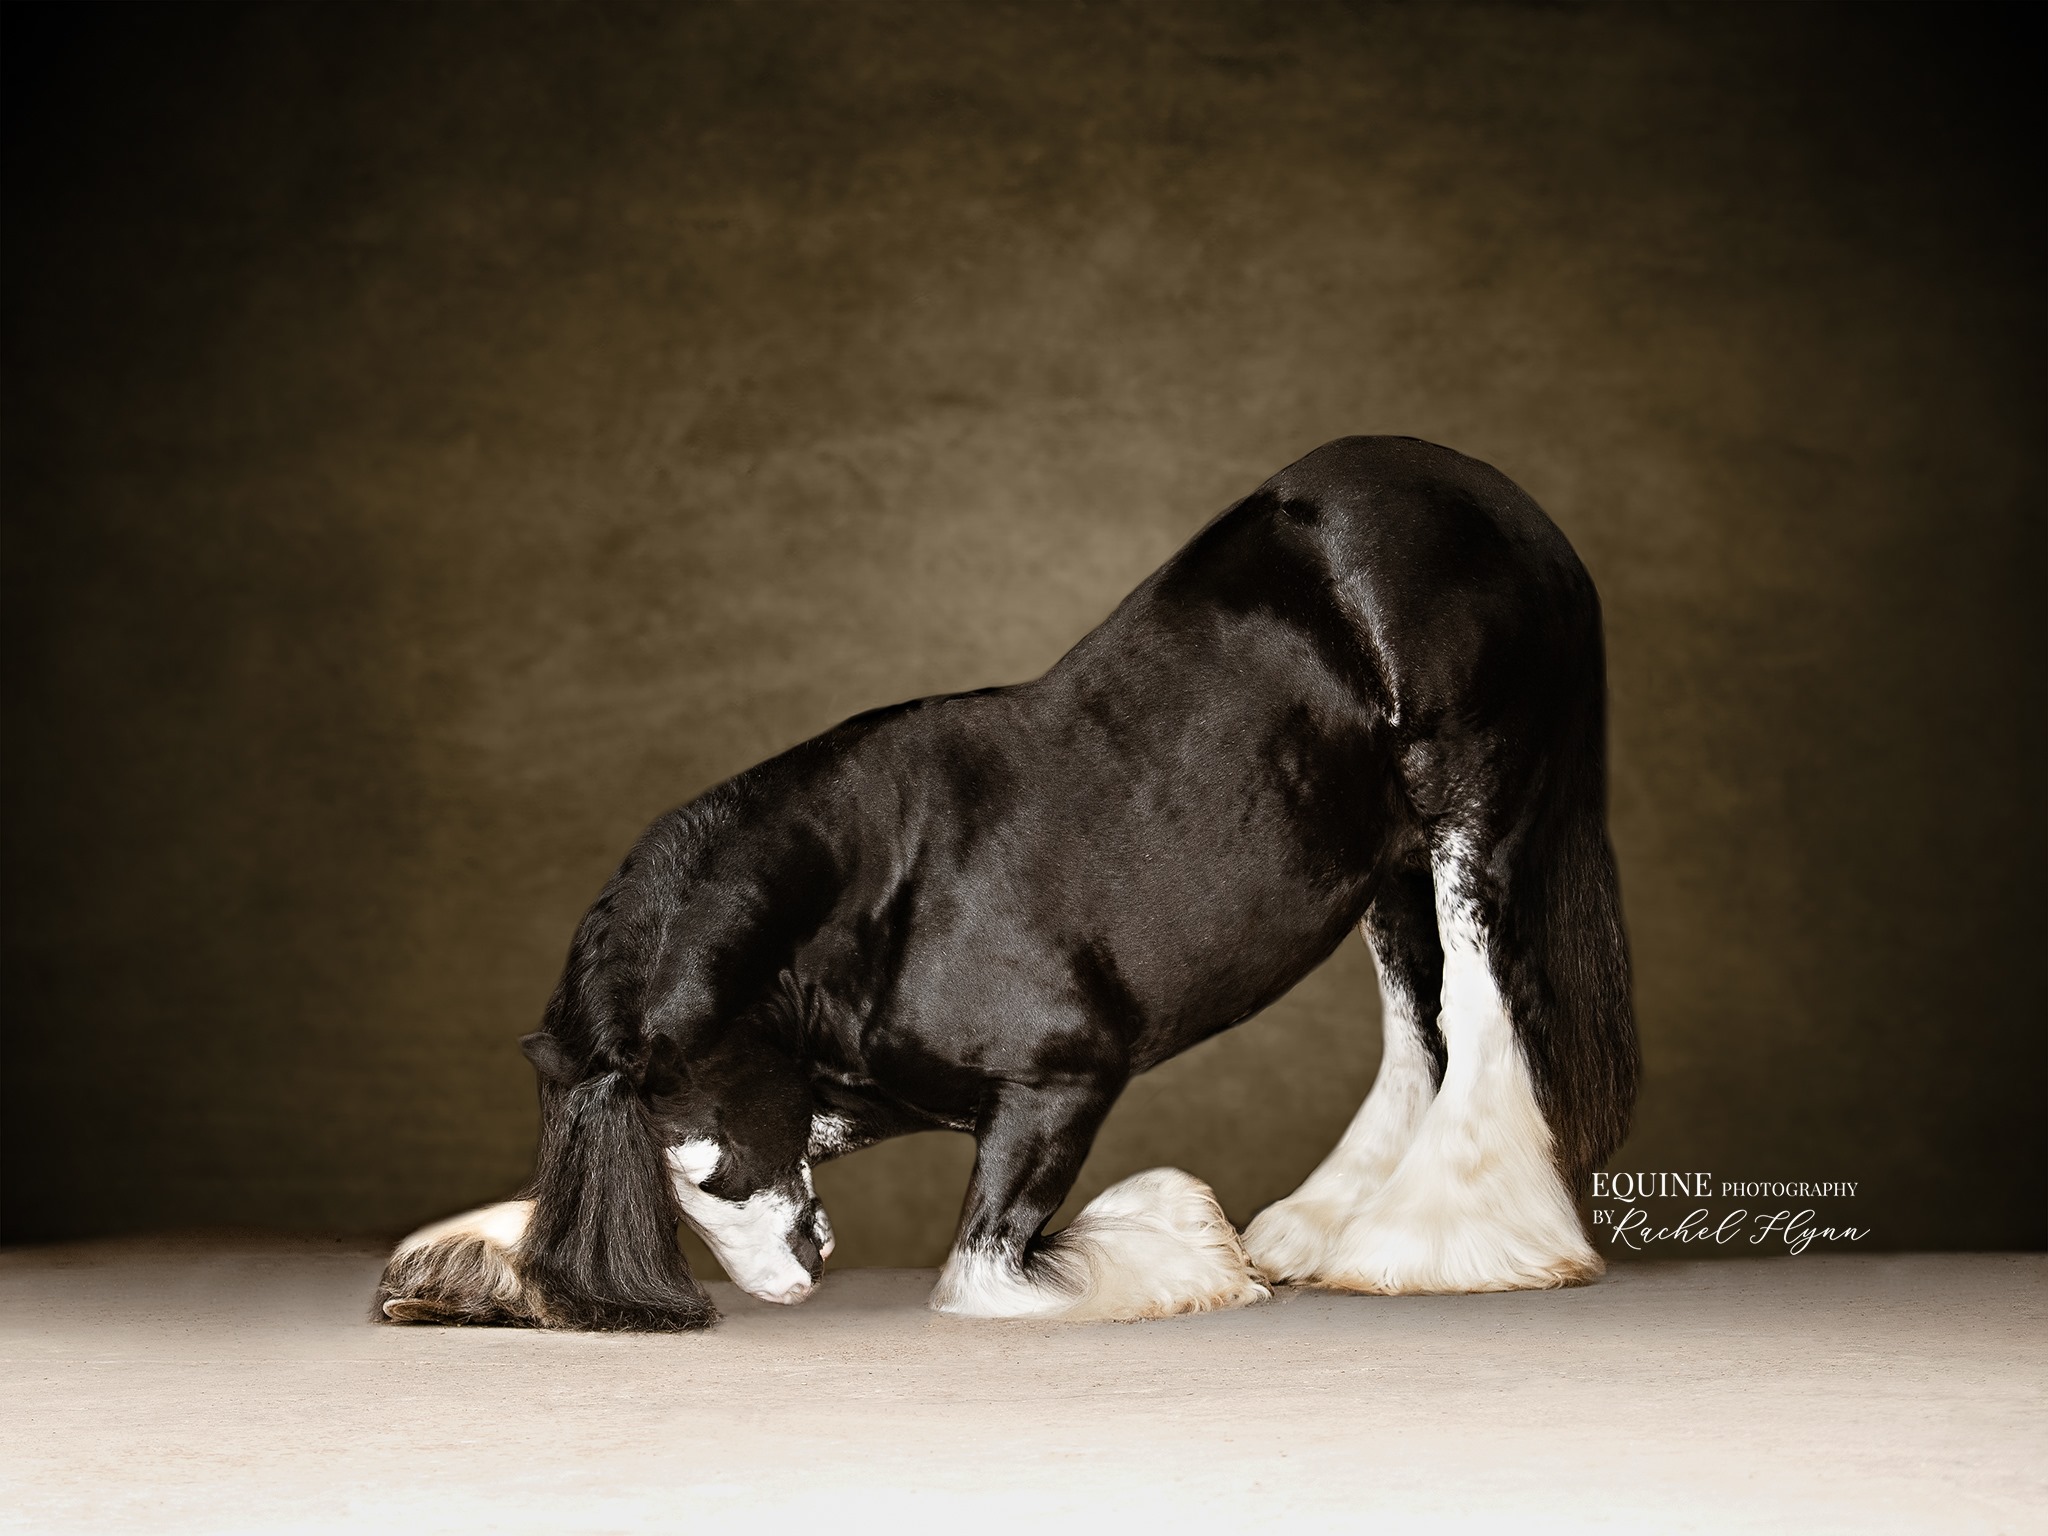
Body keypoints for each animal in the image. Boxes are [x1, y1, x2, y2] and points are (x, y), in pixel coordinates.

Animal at [376, 436, 1638, 1335]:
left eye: (702, 1161)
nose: (788, 1285)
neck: (887, 897)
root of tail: (1497, 501)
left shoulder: (1058, 1087)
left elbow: (985, 1269)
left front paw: (1186, 1256)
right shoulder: (858, 1095)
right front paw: (457, 1269)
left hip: (1472, 821)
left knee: (1481, 1015)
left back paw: (1433, 1249)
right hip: (1387, 872)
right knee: (1418, 1028)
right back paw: (1331, 1234)